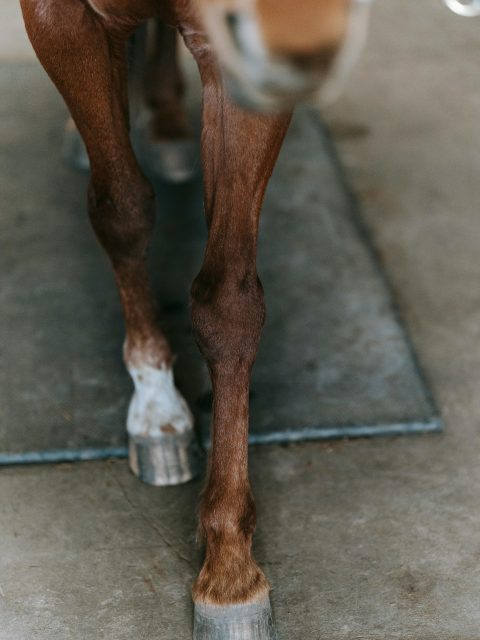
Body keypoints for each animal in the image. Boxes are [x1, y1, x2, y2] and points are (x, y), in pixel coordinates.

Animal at [19, 0, 372, 637]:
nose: (308, 48)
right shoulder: (62, 21)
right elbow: (123, 210)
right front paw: (157, 404)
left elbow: (227, 303)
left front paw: (230, 573)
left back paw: (167, 125)